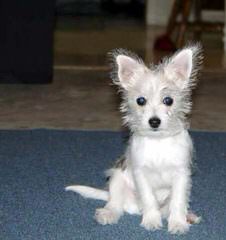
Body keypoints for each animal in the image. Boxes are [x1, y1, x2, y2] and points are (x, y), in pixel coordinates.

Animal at [66, 45, 203, 234]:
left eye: (168, 100)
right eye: (141, 101)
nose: (154, 121)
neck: (158, 142)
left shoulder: (181, 174)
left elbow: (178, 201)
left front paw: (177, 223)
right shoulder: (141, 174)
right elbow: (149, 199)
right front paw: (151, 220)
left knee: (166, 208)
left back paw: (187, 216)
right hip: (116, 178)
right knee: (115, 203)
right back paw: (108, 214)